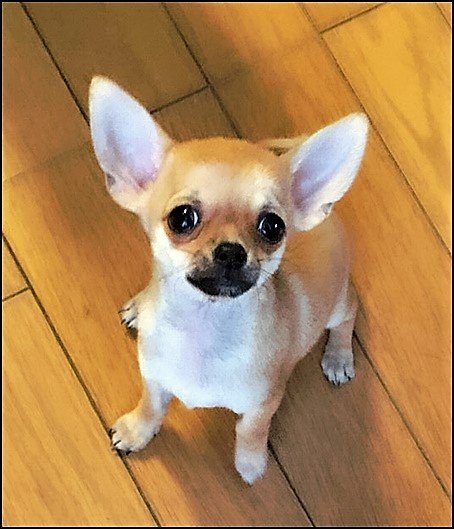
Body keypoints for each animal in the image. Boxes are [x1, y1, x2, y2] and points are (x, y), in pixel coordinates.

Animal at [89, 76, 368, 484]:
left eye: (273, 227)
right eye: (181, 219)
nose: (233, 251)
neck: (203, 329)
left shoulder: (264, 402)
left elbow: (251, 430)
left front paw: (250, 463)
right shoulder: (153, 376)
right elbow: (151, 406)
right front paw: (137, 431)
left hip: (336, 305)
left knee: (349, 313)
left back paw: (338, 356)